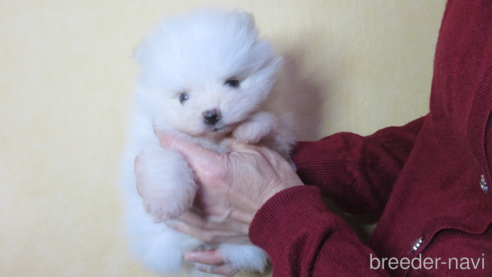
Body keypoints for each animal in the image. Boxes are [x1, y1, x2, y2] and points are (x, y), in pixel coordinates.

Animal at [121, 7, 294, 274]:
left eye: (232, 83)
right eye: (183, 98)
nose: (211, 115)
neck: (213, 140)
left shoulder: (280, 140)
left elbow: (269, 121)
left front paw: (250, 127)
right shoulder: (155, 142)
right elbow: (165, 162)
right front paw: (166, 204)